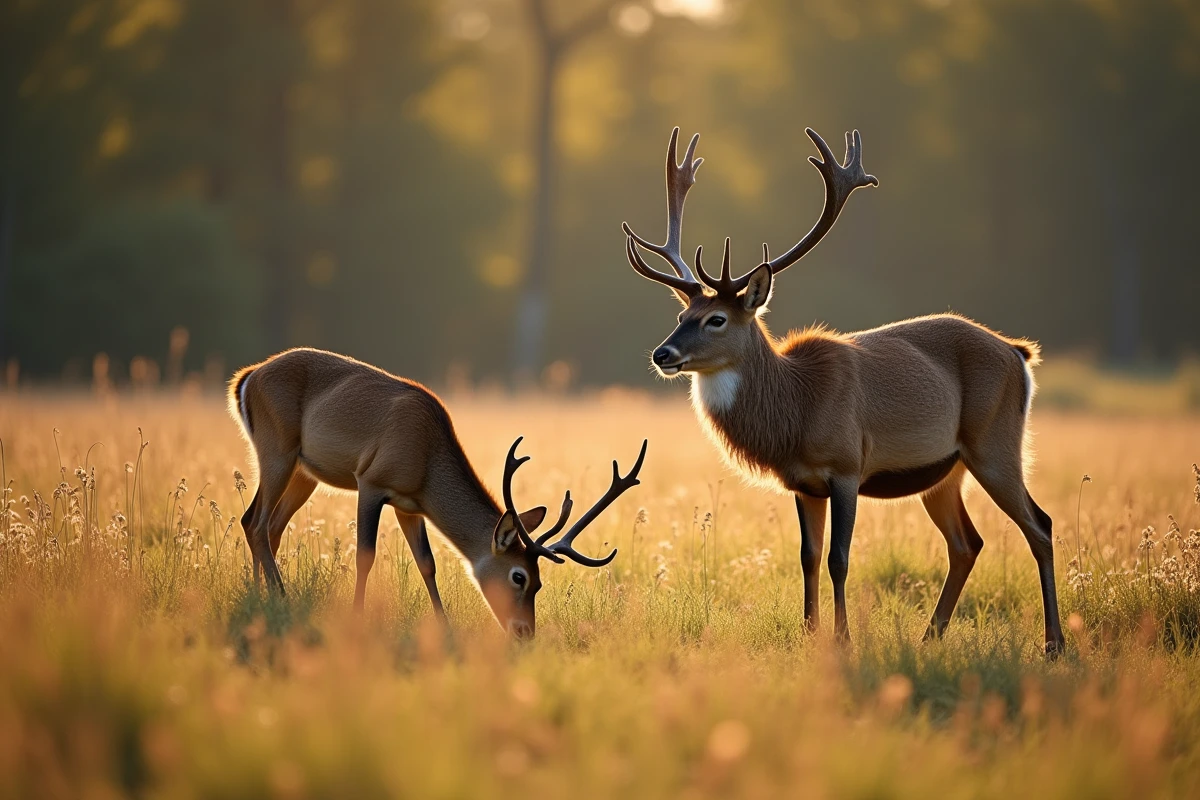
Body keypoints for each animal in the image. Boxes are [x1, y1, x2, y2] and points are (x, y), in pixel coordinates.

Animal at [228, 348, 647, 639]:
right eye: (519, 577)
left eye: (540, 581)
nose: (524, 632)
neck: (426, 465)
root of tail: (246, 378)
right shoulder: (371, 480)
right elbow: (366, 555)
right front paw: (357, 616)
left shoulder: (410, 505)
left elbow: (427, 563)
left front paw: (443, 626)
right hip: (276, 448)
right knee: (257, 522)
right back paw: (280, 597)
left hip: (303, 471)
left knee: (263, 525)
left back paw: (260, 596)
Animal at [622, 127, 1065, 656]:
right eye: (681, 315)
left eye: (717, 319)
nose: (662, 354)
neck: (796, 411)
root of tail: (1019, 353)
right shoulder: (802, 483)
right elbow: (807, 556)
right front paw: (809, 634)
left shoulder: (847, 465)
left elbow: (839, 558)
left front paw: (843, 639)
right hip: (945, 471)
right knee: (967, 542)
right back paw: (929, 636)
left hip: (996, 443)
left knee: (1040, 525)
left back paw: (1054, 643)